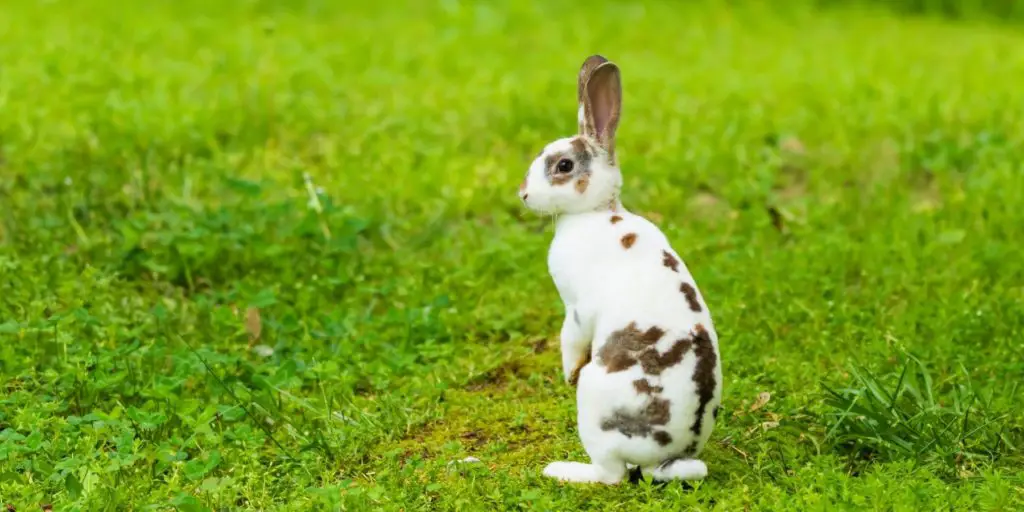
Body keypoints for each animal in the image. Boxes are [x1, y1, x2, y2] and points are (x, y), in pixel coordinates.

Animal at [516, 56, 724, 483]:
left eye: (564, 166)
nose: (524, 195)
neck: (594, 213)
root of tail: (668, 456)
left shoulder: (577, 311)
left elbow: (569, 341)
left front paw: (566, 374)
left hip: (594, 409)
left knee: (611, 475)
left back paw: (562, 470)